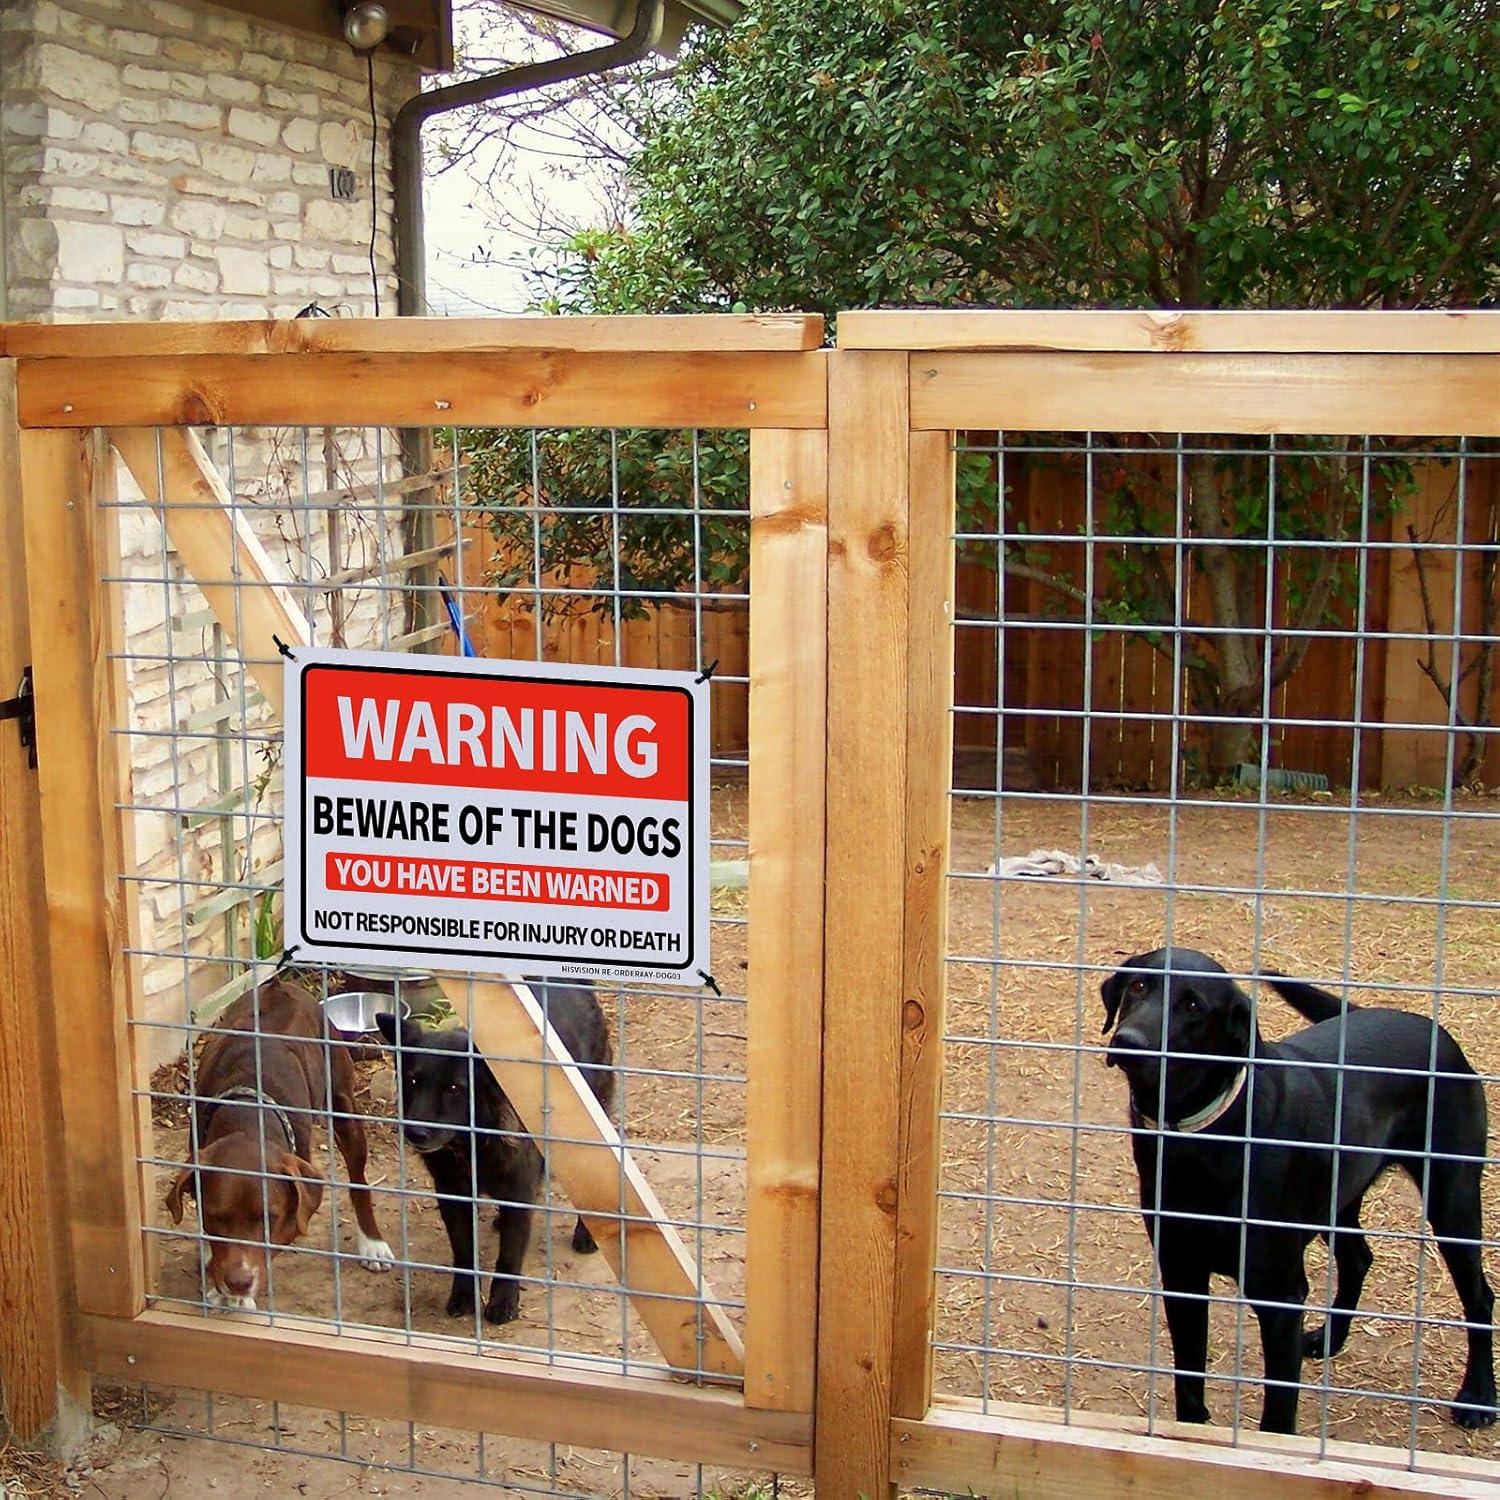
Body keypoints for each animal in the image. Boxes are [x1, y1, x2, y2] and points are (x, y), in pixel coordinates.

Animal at [165, 978, 393, 1308]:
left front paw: (235, 1297)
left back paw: (372, 1243)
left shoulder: (296, 1207)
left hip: (344, 1106)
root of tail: (281, 984)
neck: (248, 1115)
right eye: (215, 1216)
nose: (238, 1283)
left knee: (358, 1179)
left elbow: (268, 1248)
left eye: (269, 1219)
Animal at [381, 984, 615, 1326]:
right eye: (413, 1080)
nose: (415, 1133)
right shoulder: (452, 1194)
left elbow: (509, 1255)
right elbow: (464, 1251)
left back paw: (587, 1233)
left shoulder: (518, 1191)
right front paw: (464, 1296)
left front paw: (503, 1302)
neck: (472, 1144)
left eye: (455, 1088)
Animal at [1098, 942, 1494, 1434]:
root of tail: (1434, 1030)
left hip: (1452, 1199)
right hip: (1339, 1199)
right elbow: (1188, 1381)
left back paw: (1478, 1398)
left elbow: (1278, 1409)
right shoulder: (1181, 1271)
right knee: (1358, 1258)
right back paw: (1329, 1338)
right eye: (1139, 986)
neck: (1204, 1136)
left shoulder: (1280, 1297)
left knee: (1480, 1296)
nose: (1128, 1042)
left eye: (1193, 1006)